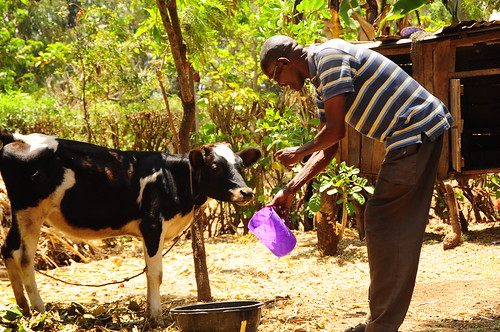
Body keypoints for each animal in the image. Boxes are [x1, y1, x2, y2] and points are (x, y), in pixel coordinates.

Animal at [1, 131, 262, 326]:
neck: (174, 177)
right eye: (215, 167)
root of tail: (22, 137)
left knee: (8, 249)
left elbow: (148, 271)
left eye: (241, 165)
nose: (246, 192)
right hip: (31, 210)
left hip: (21, 212)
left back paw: (23, 309)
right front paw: (156, 317)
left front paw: (148, 314)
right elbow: (155, 274)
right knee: (24, 256)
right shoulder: (153, 225)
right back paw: (39, 310)